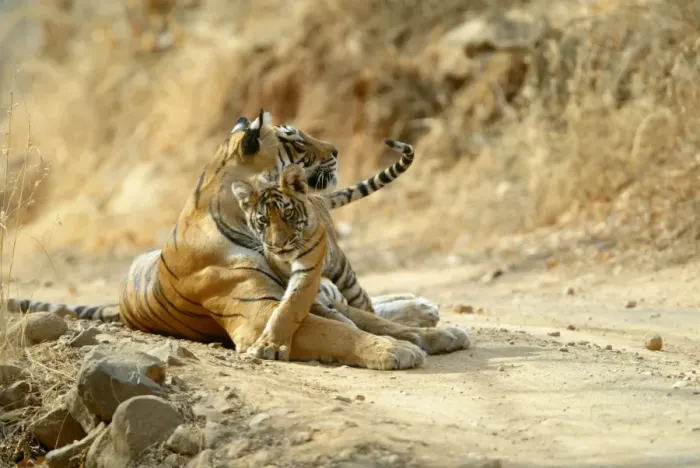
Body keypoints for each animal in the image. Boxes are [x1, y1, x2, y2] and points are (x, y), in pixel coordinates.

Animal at [8, 110, 470, 370]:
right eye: (295, 139)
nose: (337, 150)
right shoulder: (258, 316)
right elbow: (342, 332)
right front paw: (395, 351)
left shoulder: (304, 293)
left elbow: (373, 320)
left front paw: (440, 335)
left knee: (362, 302)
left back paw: (423, 309)